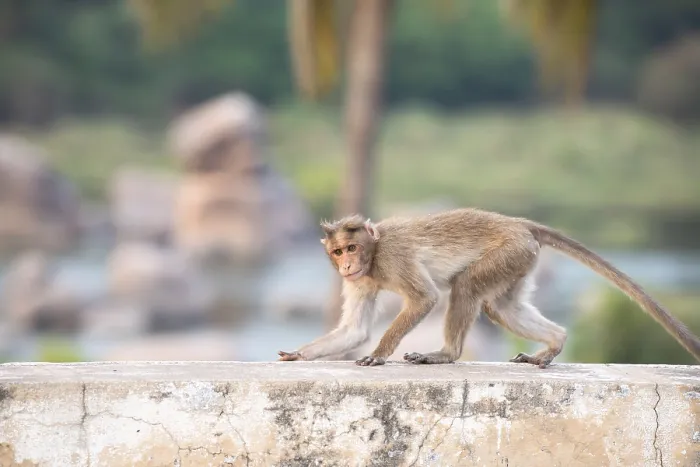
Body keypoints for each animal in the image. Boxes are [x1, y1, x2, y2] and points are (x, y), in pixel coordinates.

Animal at [277, 208, 700, 368]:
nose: (346, 265)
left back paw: (445, 354)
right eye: (337, 251)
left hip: (509, 251)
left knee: (465, 288)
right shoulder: (362, 281)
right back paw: (554, 343)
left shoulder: (395, 258)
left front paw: (379, 355)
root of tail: (519, 223)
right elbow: (355, 330)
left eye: (352, 247)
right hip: (520, 260)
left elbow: (426, 298)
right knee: (502, 307)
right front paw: (300, 354)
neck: (374, 254)